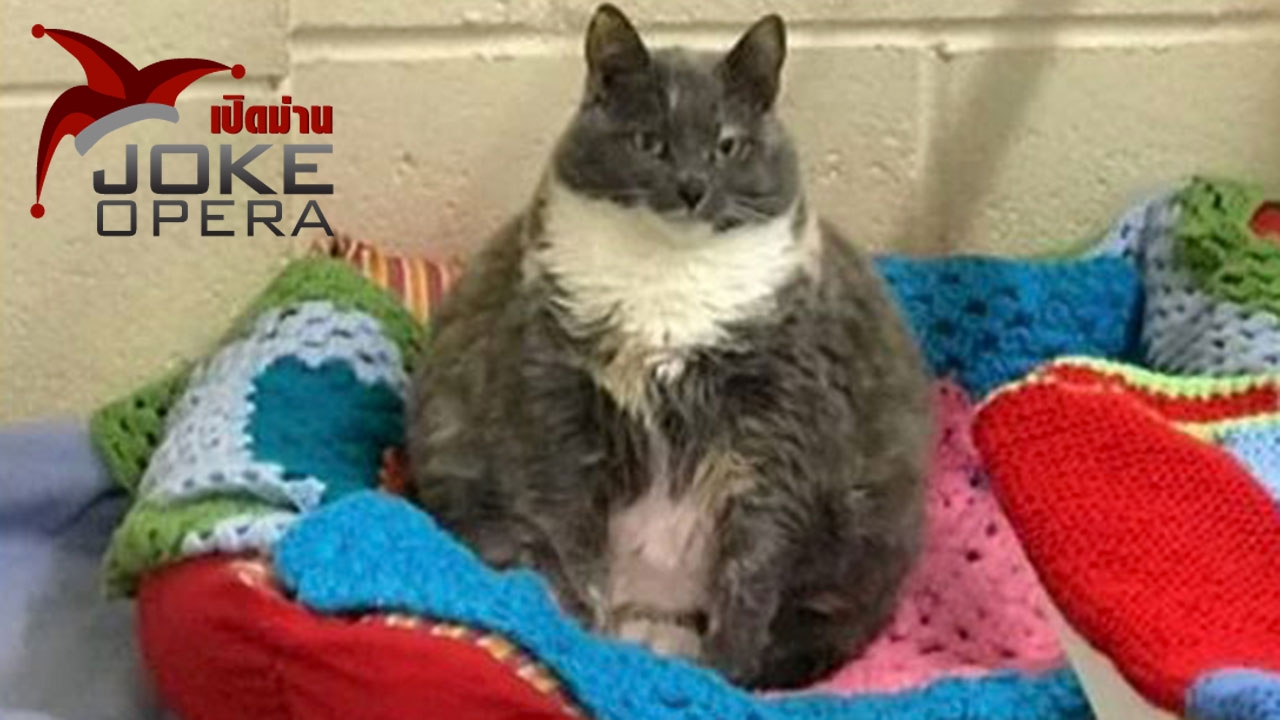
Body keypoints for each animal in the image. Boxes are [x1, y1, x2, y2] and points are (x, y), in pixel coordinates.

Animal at [406, 4, 932, 689]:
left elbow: (751, 574)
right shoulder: (557, 411)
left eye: (728, 144)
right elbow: (573, 547)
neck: (668, 285)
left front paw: (722, 677)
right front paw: (586, 643)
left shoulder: (775, 432)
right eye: (649, 142)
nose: (691, 186)